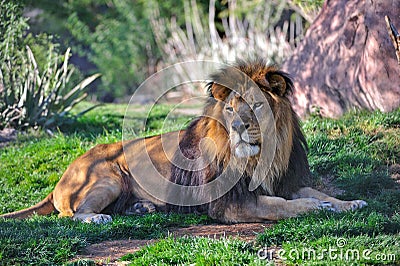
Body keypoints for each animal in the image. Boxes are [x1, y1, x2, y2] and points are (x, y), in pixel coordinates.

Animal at [1, 59, 368, 223]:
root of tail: (58, 182)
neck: (262, 155)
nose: (238, 126)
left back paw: (141, 207)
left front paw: (349, 203)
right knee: (72, 214)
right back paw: (98, 217)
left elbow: (316, 192)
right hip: (107, 178)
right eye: (231, 108)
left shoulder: (285, 181)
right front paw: (314, 208)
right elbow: (280, 206)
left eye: (257, 105)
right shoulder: (230, 203)